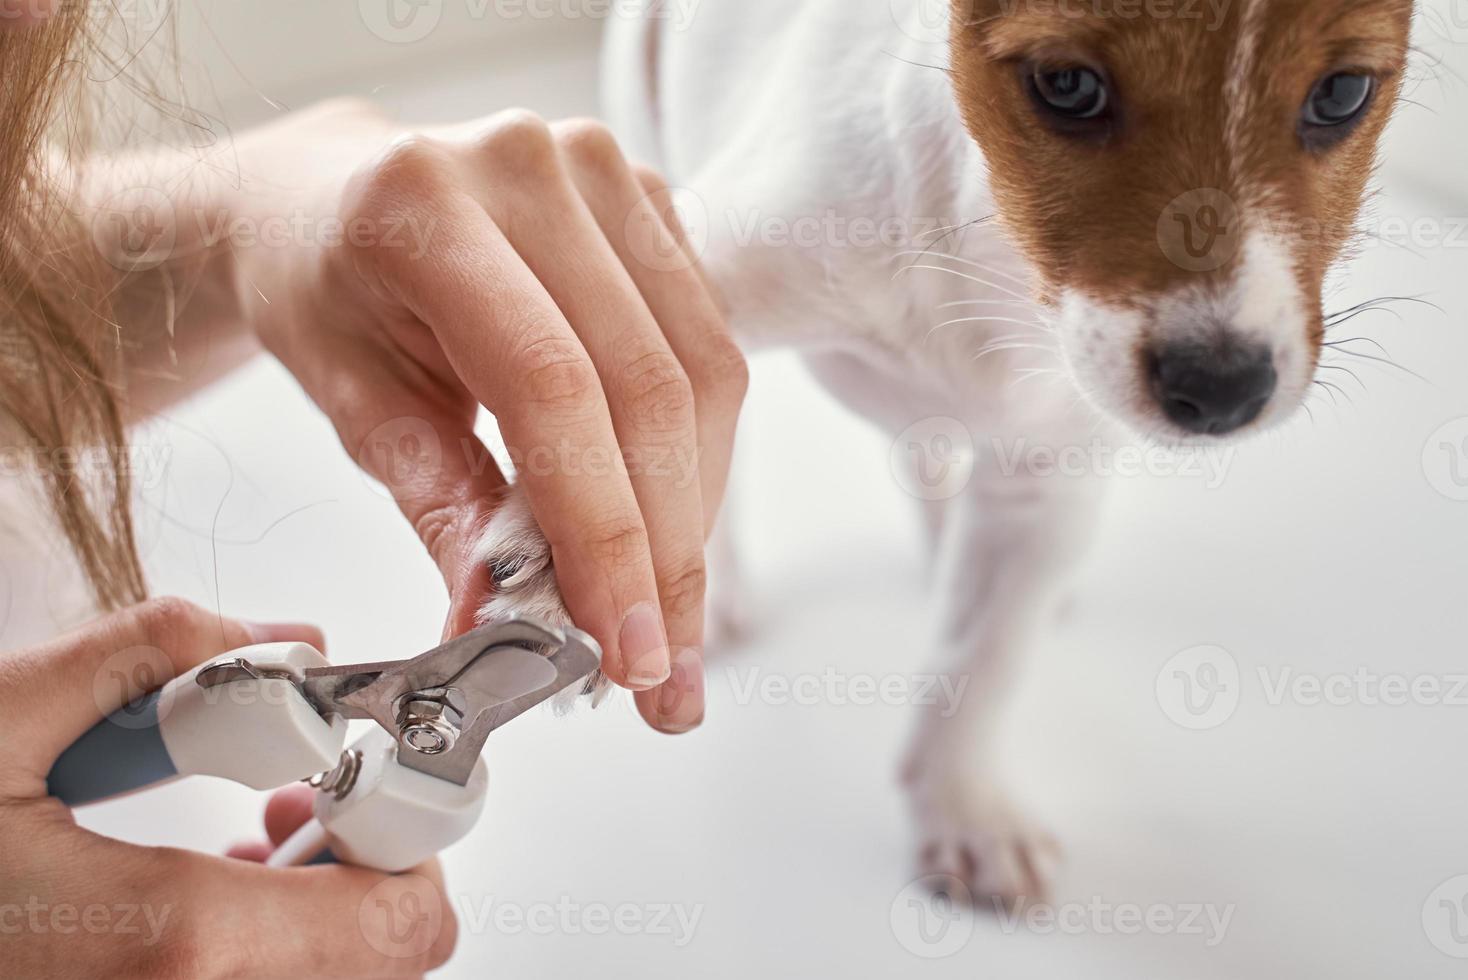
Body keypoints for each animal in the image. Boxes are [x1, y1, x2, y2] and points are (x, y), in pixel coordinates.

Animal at [475, 0, 1415, 903]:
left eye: (1342, 94)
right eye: (1067, 85)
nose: (1222, 390)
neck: (991, 250)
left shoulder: (1046, 483)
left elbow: (979, 658)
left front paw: (963, 811)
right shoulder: (677, 277)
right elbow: (648, 395)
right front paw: (567, 576)